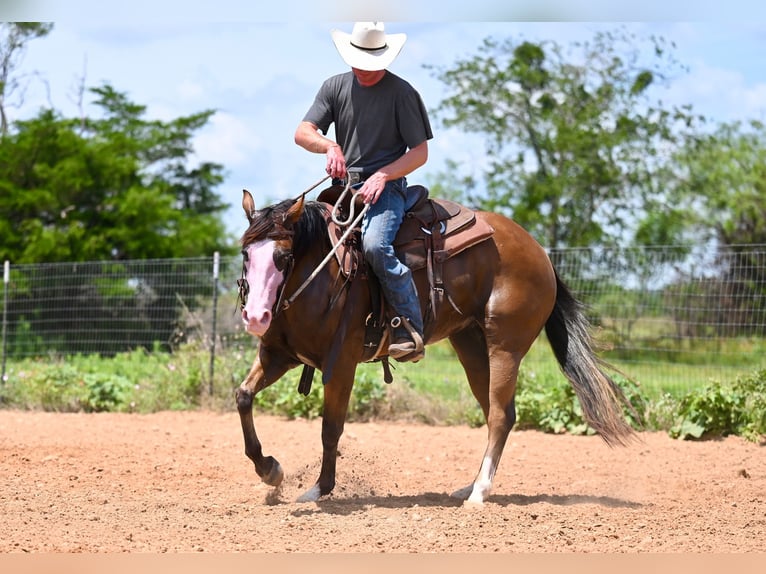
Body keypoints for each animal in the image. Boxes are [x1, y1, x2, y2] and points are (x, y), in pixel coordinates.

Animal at [236, 187, 636, 506]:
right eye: (246, 255)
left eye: (283, 258)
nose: (256, 316)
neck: (324, 273)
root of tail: (541, 253)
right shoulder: (278, 356)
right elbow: (243, 397)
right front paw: (270, 470)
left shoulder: (341, 365)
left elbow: (330, 428)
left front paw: (320, 489)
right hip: (471, 346)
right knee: (497, 413)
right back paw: (470, 486)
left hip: (505, 348)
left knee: (500, 415)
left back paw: (479, 492)